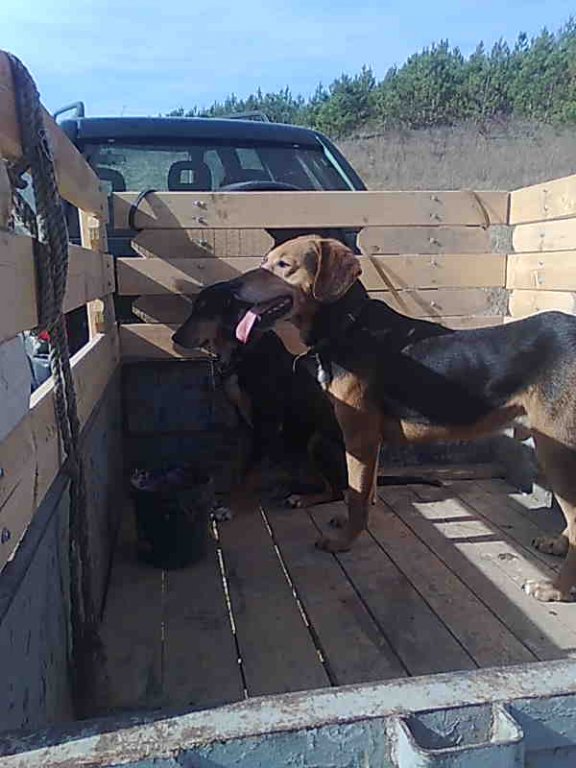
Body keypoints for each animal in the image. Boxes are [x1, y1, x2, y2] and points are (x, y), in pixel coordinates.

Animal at [226, 235, 576, 603]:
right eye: (264, 261)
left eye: (284, 265)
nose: (232, 289)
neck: (348, 325)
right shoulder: (371, 442)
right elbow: (367, 491)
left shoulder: (359, 438)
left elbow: (355, 496)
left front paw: (344, 542)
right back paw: (556, 544)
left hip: (556, 449)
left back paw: (555, 588)